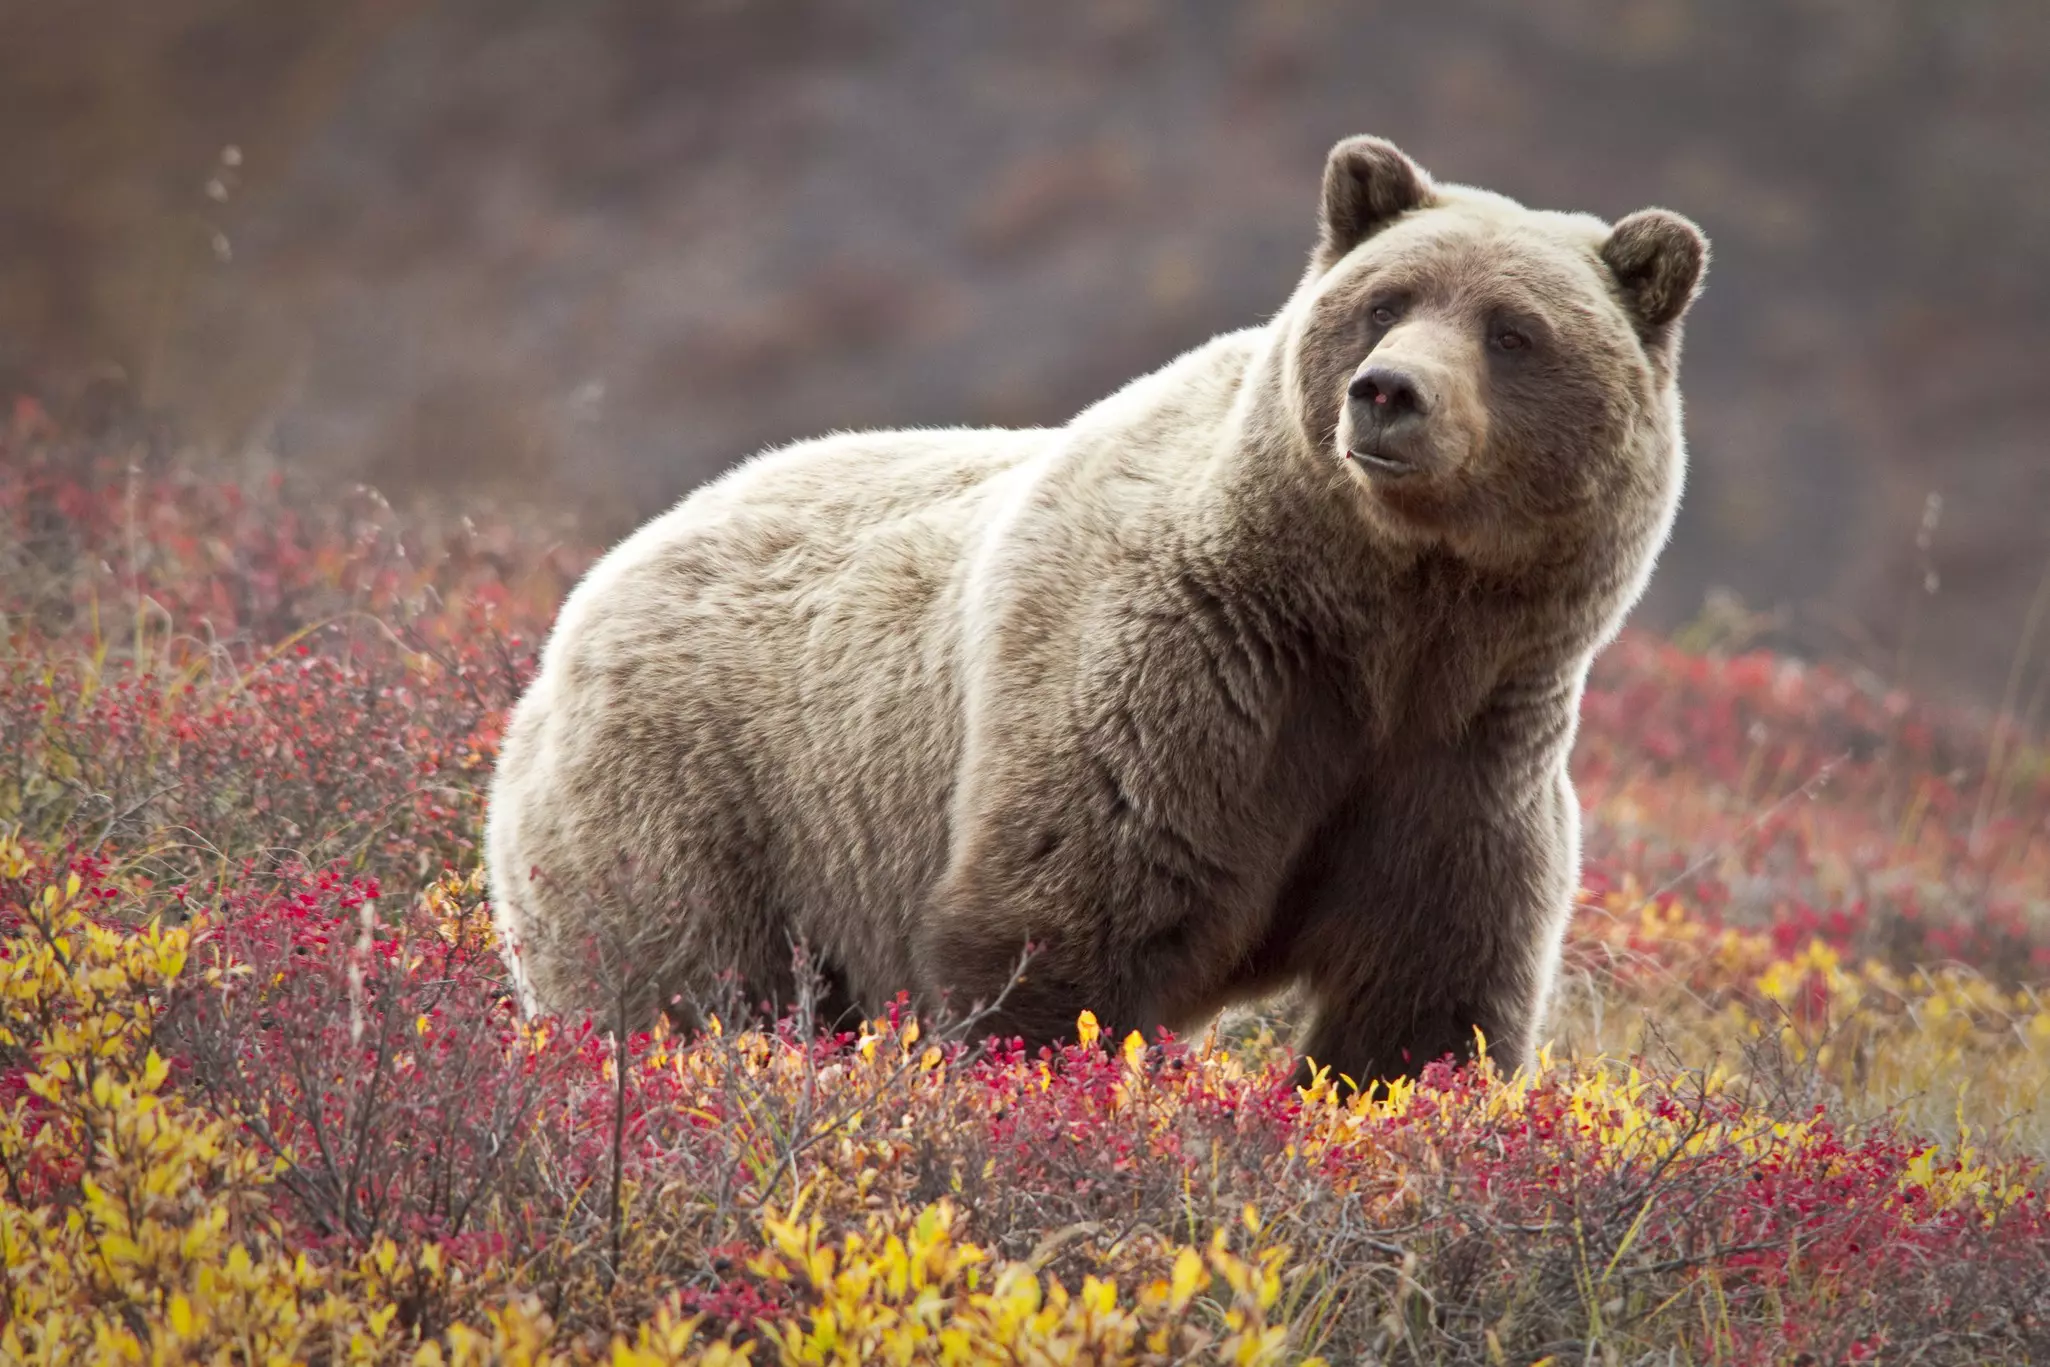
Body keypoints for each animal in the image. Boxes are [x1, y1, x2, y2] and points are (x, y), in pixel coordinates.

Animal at [484, 134, 1706, 1088]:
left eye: (1512, 330)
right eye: (1383, 302)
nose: (1388, 393)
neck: (1379, 624)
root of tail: (590, 592)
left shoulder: (1465, 759)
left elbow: (1425, 1008)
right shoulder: (1183, 681)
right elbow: (1061, 940)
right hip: (700, 802)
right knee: (678, 986)